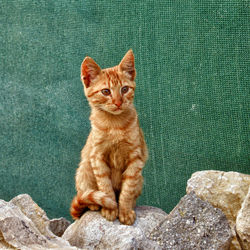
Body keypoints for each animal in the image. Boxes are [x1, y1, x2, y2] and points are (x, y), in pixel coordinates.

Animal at [70, 49, 147, 226]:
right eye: (106, 91)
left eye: (124, 89)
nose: (118, 102)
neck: (115, 125)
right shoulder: (97, 157)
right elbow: (105, 187)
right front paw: (111, 208)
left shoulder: (136, 159)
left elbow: (127, 190)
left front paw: (124, 211)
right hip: (84, 170)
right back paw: (93, 205)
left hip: (140, 178)